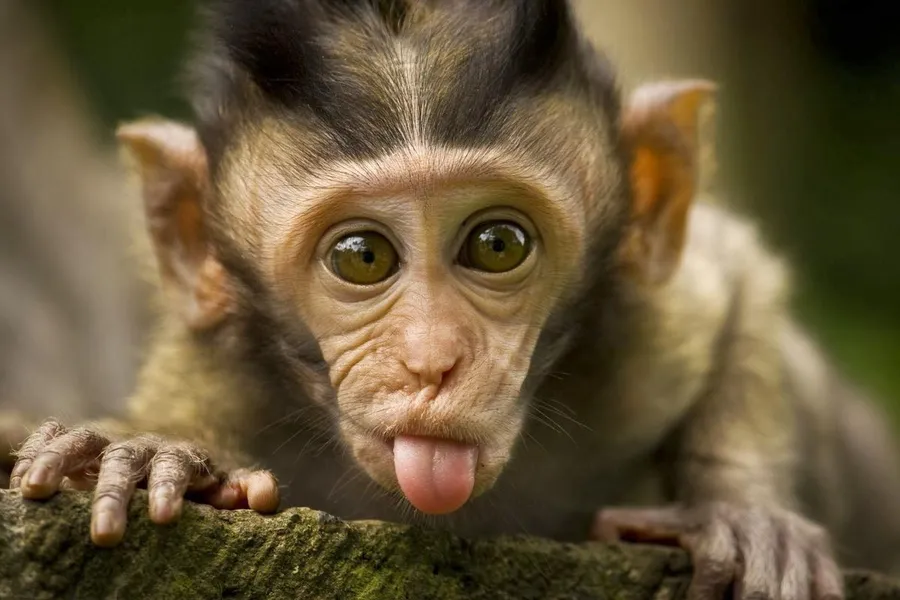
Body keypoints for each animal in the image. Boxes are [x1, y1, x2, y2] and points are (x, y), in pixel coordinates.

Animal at [8, 1, 900, 598]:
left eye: (496, 245)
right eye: (362, 257)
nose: (432, 361)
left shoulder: (646, 339)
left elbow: (738, 279)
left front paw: (741, 512)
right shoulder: (218, 373)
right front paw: (155, 452)